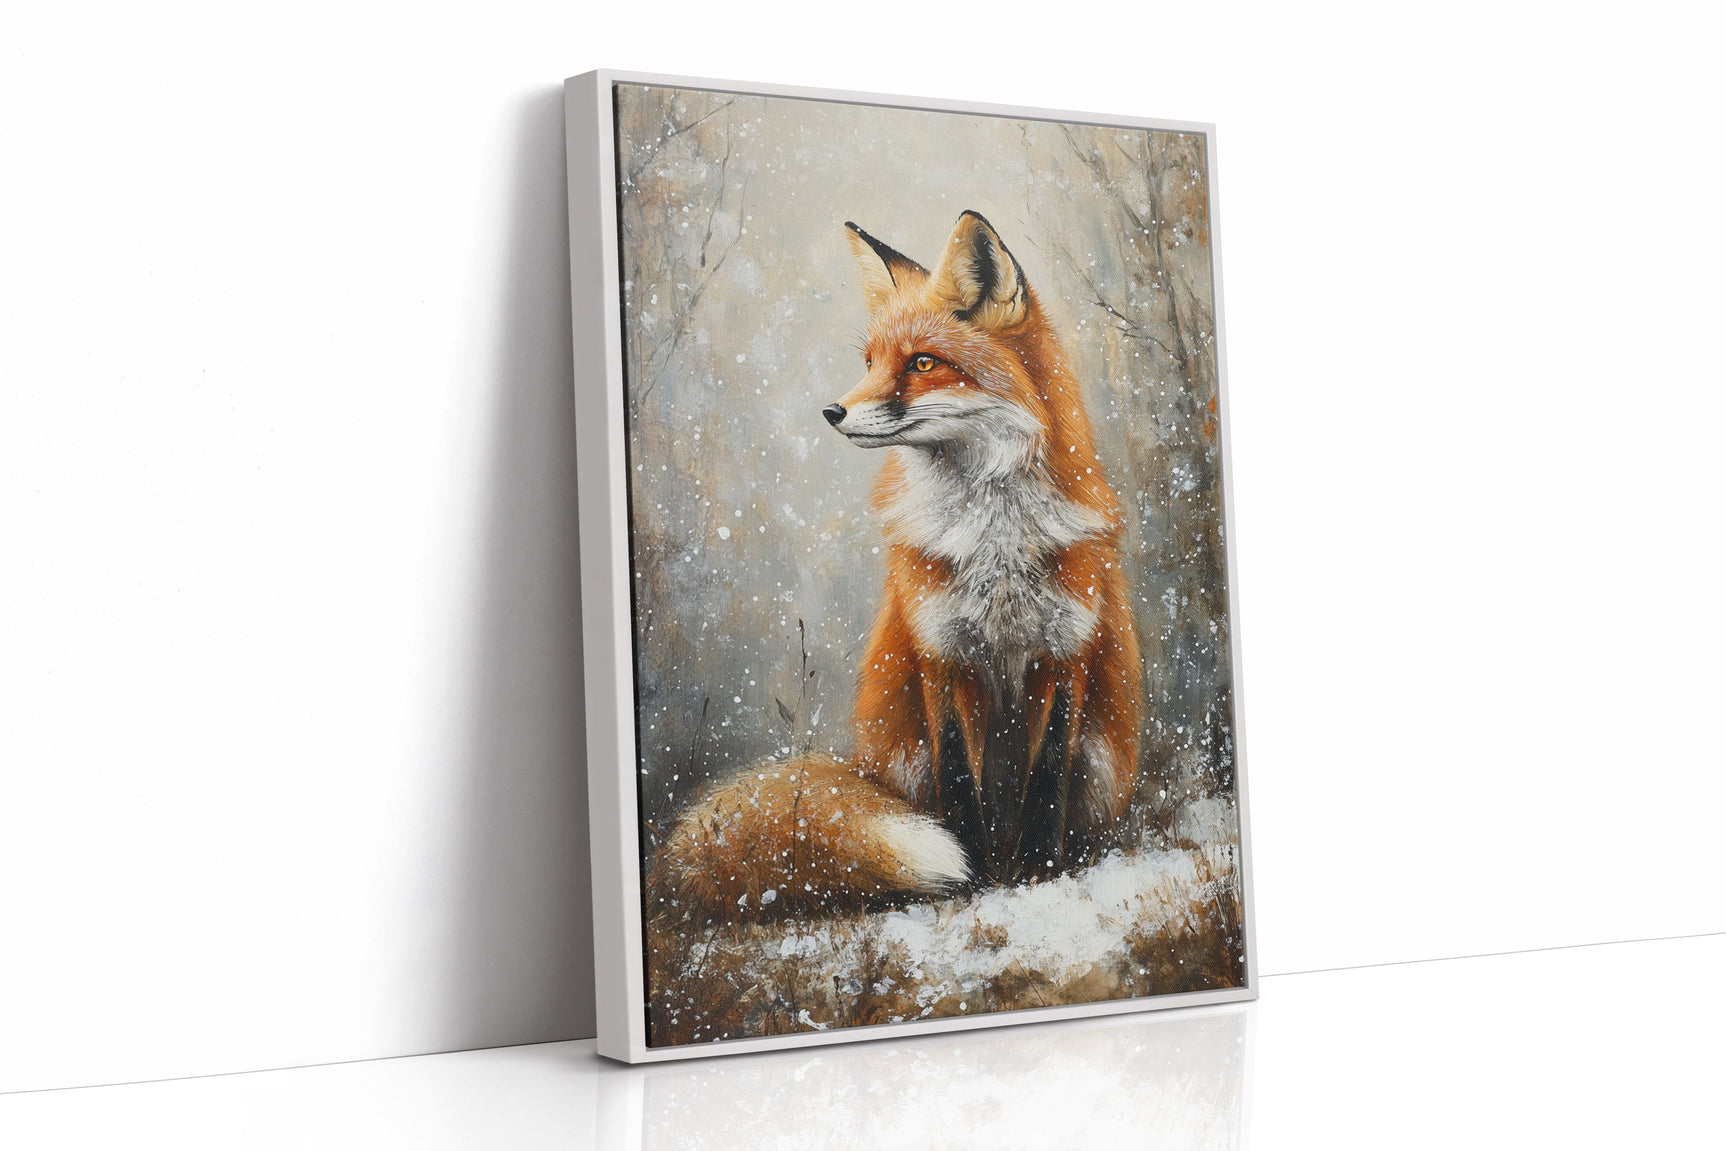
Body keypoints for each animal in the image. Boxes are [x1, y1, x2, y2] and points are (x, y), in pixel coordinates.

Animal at [655, 210, 1143, 917]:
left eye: (922, 362)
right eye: (869, 362)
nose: (832, 411)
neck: (994, 539)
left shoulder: (1065, 653)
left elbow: (1048, 777)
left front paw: (1042, 874)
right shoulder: (939, 653)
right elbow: (959, 779)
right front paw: (974, 877)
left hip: (1106, 754)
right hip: (899, 750)